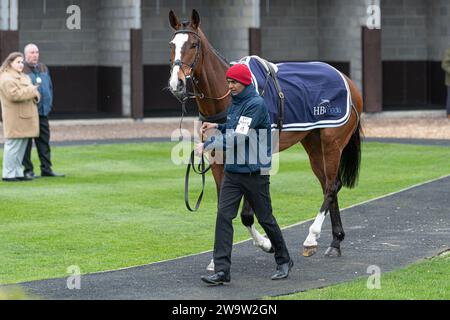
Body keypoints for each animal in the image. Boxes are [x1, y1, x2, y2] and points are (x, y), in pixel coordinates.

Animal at [168, 8, 362, 266]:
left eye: (193, 44)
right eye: (172, 45)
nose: (176, 83)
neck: (228, 97)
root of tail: (346, 79)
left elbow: (246, 214)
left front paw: (266, 243)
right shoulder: (218, 160)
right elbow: (223, 207)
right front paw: (217, 259)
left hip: (332, 143)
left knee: (332, 185)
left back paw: (311, 238)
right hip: (313, 143)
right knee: (327, 185)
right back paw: (335, 240)